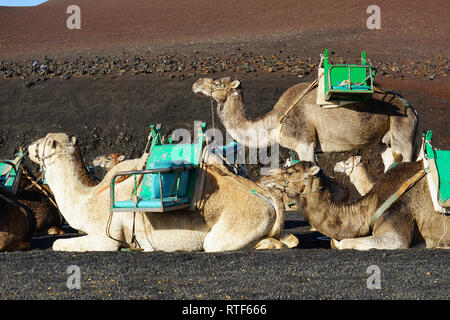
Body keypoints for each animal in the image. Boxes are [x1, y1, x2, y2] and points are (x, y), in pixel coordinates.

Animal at [29, 132, 300, 252]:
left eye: (46, 143)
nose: (30, 146)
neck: (88, 198)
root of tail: (271, 200)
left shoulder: (107, 237)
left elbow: (58, 245)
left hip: (237, 224)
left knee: (220, 244)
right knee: (290, 239)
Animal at [193, 77, 418, 172]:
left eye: (218, 83)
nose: (196, 83)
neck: (276, 122)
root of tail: (411, 108)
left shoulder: (304, 143)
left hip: (403, 130)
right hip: (385, 140)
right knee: (389, 159)